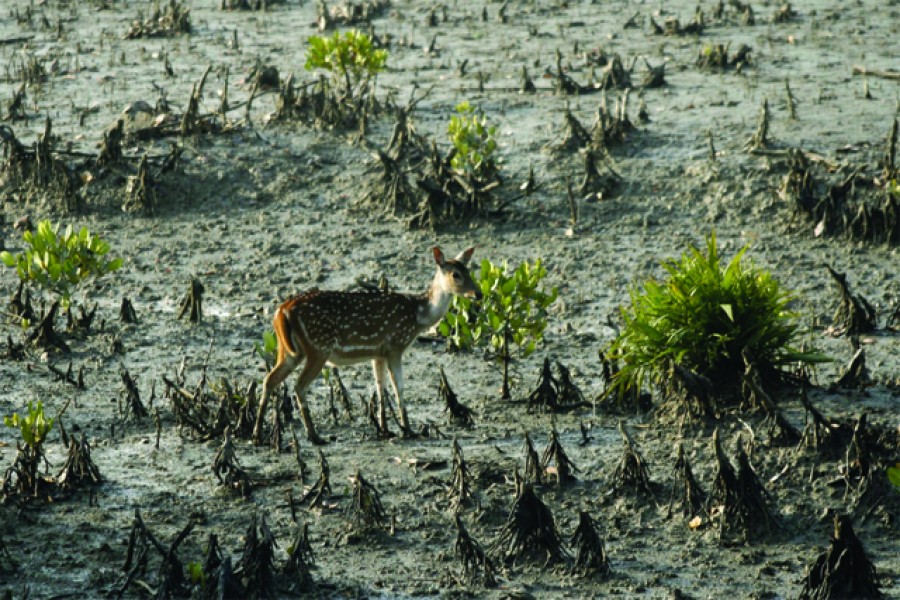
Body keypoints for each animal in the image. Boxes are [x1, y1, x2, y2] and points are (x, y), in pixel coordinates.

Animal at [253, 245, 482, 446]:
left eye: (469, 271)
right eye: (456, 274)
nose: (478, 294)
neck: (418, 316)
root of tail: (282, 311)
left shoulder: (378, 353)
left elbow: (380, 387)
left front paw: (385, 430)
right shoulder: (395, 345)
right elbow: (399, 388)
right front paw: (408, 430)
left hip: (289, 351)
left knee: (269, 380)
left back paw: (257, 434)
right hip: (318, 347)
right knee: (299, 386)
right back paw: (315, 436)